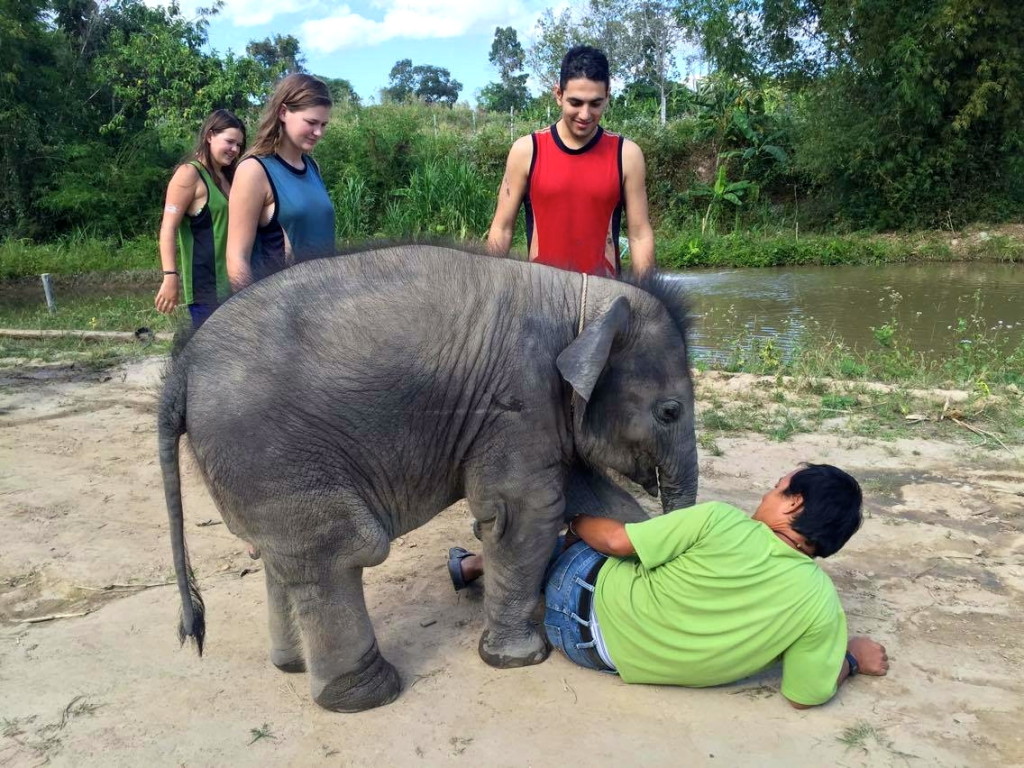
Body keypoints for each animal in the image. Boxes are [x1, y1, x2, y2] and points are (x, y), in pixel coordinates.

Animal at [157, 243, 696, 712]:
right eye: (669, 412)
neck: (587, 298)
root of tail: (179, 370)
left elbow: (585, 493)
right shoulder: (519, 401)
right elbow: (527, 513)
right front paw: (517, 661)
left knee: (281, 557)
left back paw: (292, 666)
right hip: (273, 452)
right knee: (337, 549)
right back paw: (369, 695)